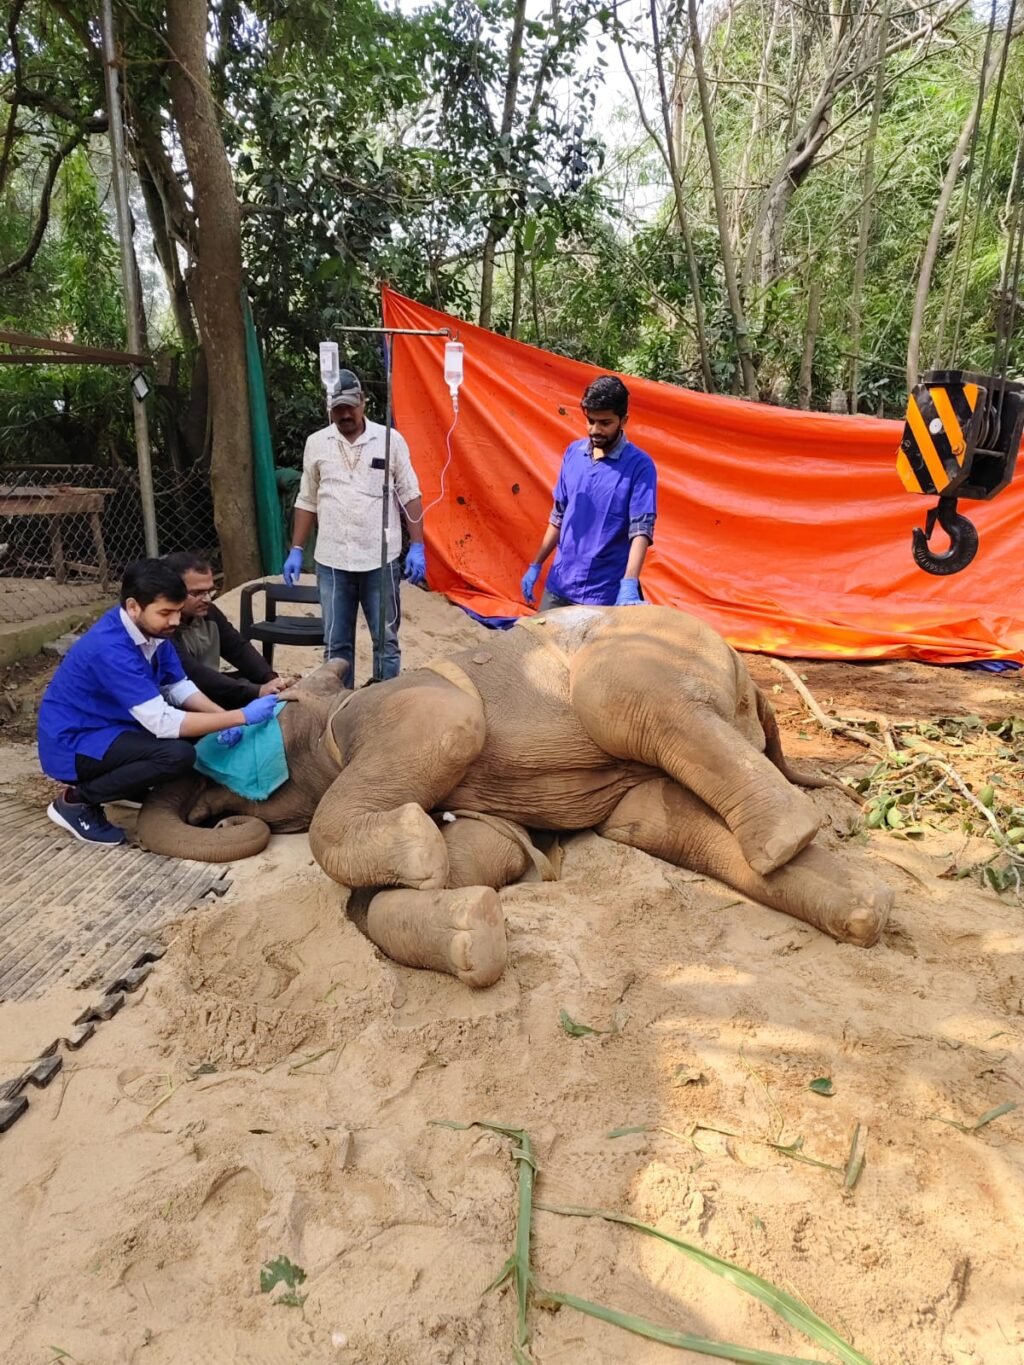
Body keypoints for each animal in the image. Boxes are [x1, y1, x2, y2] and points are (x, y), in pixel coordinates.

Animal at [138, 605, 892, 988]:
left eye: (230, 737)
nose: (217, 813)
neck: (332, 707)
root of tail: (750, 678)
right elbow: (482, 851)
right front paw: (472, 923)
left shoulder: (402, 713)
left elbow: (450, 734)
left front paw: (418, 853)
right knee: (658, 820)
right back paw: (864, 911)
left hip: (648, 658)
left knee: (626, 703)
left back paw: (788, 836)